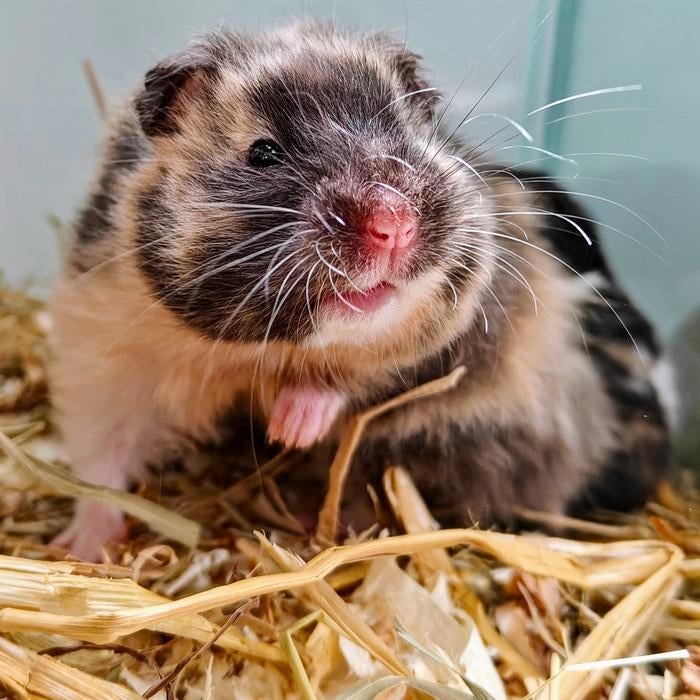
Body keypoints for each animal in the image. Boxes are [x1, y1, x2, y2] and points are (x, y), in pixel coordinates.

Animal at [49, 23, 671, 560]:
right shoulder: (104, 353)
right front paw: (82, 552)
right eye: (263, 152)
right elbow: (102, 464)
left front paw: (290, 427)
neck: (260, 349)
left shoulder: (452, 340)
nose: (393, 224)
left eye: (409, 130)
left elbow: (356, 380)